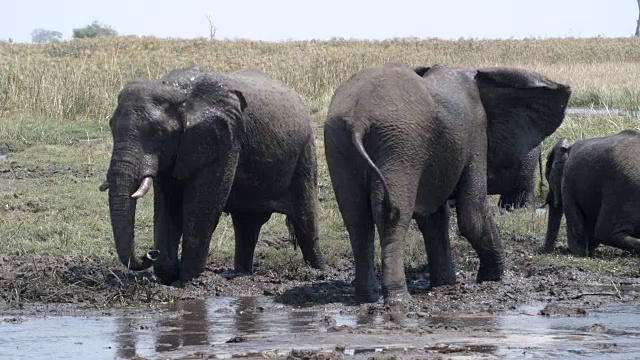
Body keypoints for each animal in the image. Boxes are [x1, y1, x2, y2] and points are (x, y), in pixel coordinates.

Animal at [100, 64, 324, 284]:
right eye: (111, 127)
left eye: (159, 133)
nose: (150, 253)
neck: (175, 90)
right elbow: (168, 205)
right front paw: (168, 274)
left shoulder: (225, 140)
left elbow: (203, 204)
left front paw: (188, 279)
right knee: (247, 224)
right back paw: (240, 274)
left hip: (304, 151)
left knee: (305, 220)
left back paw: (317, 271)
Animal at [324, 62, 568, 306]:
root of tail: (359, 119)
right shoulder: (476, 130)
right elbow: (472, 213)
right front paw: (492, 277)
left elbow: (433, 218)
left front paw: (444, 284)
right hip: (399, 145)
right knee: (391, 215)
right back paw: (399, 299)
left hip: (342, 142)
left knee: (356, 218)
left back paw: (366, 297)